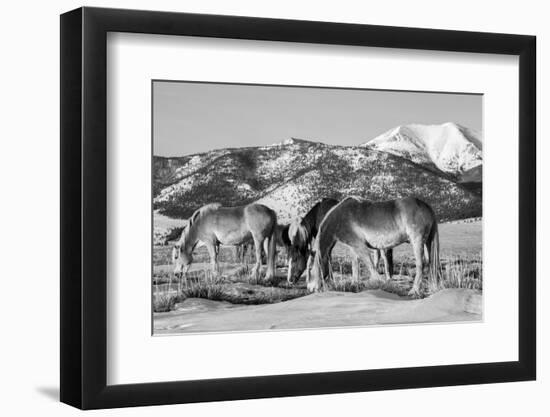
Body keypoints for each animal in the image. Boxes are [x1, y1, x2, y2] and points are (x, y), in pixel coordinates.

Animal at [310, 196, 444, 296]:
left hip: (417, 241)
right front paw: (354, 284)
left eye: (311, 272)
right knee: (431, 262)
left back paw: (414, 290)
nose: (313, 289)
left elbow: (370, 265)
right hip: (428, 242)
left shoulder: (359, 246)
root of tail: (425, 206)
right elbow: (355, 266)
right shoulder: (353, 247)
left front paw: (380, 283)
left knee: (421, 264)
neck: (339, 217)